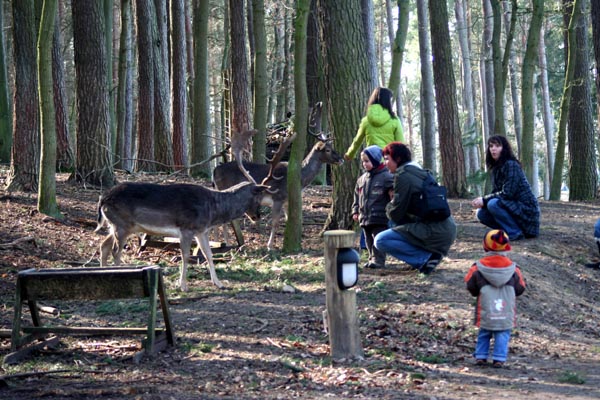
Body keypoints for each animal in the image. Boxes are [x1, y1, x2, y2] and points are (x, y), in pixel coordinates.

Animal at [95, 180, 268, 290]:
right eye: (258, 197)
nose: (257, 216)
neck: (214, 210)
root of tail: (103, 199)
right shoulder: (186, 229)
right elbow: (185, 256)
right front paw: (183, 286)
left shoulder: (202, 231)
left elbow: (208, 254)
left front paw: (219, 284)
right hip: (121, 225)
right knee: (115, 251)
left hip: (118, 225)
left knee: (104, 245)